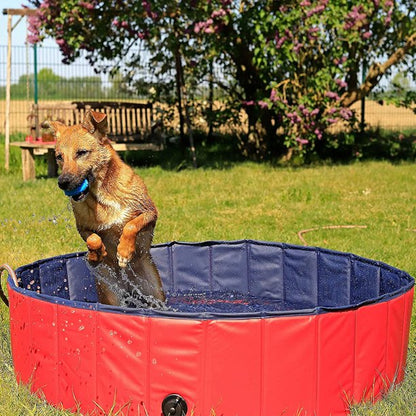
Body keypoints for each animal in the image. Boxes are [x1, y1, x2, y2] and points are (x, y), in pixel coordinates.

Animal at [48, 110, 164, 306]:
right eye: (59, 157)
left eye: (81, 152)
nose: (63, 182)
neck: (102, 195)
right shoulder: (83, 227)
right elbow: (93, 239)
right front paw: (96, 254)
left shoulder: (149, 212)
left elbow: (131, 225)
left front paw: (124, 252)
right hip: (110, 294)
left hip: (155, 291)